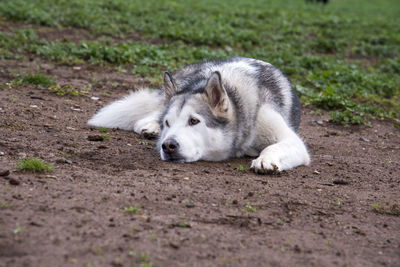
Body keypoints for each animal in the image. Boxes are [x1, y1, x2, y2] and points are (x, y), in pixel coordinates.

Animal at [89, 57, 310, 174]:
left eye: (194, 121)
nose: (167, 146)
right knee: (142, 119)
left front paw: (265, 159)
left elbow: (274, 146)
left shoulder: (291, 139)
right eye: (168, 123)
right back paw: (150, 127)